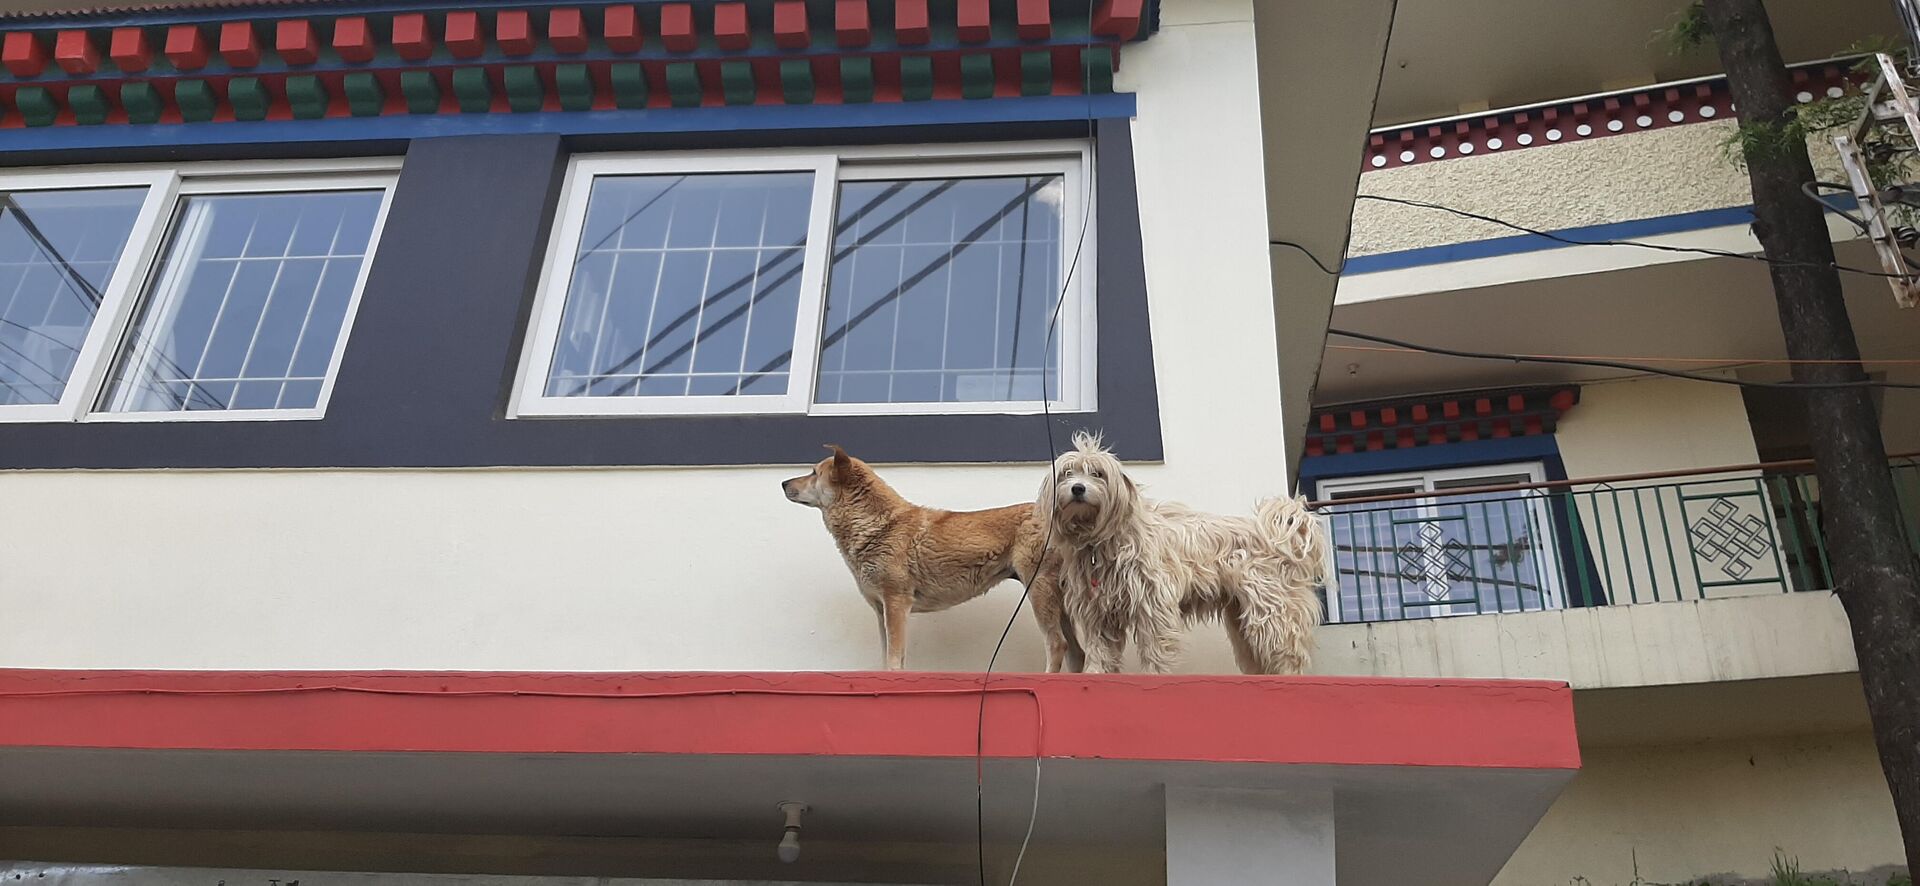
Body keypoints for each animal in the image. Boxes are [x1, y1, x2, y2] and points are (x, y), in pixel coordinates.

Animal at [779, 445, 1082, 672]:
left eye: (813, 472)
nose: (782, 482)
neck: (877, 525)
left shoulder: (896, 603)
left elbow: (894, 657)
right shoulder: (881, 610)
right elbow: (886, 656)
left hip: (1038, 589)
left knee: (1058, 644)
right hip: (1060, 601)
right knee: (1076, 651)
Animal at [1044, 432, 1328, 672]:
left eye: (1098, 473)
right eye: (1067, 473)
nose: (1078, 488)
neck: (1102, 541)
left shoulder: (1153, 608)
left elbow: (1155, 654)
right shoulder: (1099, 616)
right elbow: (1099, 655)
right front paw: (1094, 675)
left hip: (1272, 613)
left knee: (1289, 656)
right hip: (1242, 622)